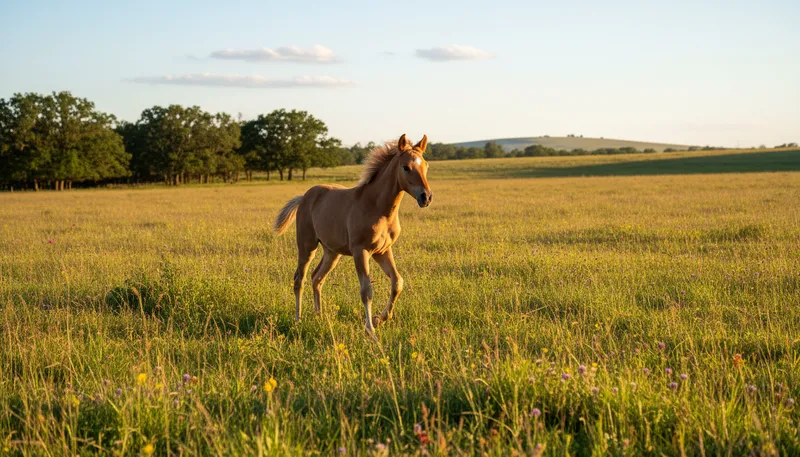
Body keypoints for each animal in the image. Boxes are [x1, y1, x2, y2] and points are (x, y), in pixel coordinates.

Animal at [273, 133, 433, 335]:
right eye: (406, 167)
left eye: (426, 165)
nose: (426, 197)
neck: (377, 207)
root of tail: (304, 198)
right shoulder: (360, 251)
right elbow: (366, 291)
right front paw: (370, 330)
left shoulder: (382, 251)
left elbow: (397, 282)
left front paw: (380, 319)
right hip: (307, 245)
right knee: (299, 279)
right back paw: (298, 320)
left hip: (332, 252)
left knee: (317, 278)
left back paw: (319, 316)